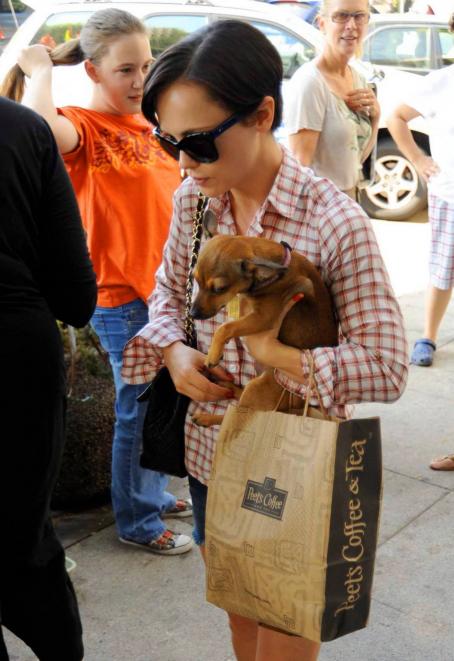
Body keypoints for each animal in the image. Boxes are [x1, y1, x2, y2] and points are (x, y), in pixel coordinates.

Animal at [190, 213, 338, 428]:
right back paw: (228, 386)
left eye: (219, 289)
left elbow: (226, 327)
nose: (192, 313)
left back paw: (207, 417)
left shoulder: (262, 318)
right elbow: (230, 325)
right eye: (195, 280)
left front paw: (213, 353)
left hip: (256, 387)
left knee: (236, 414)